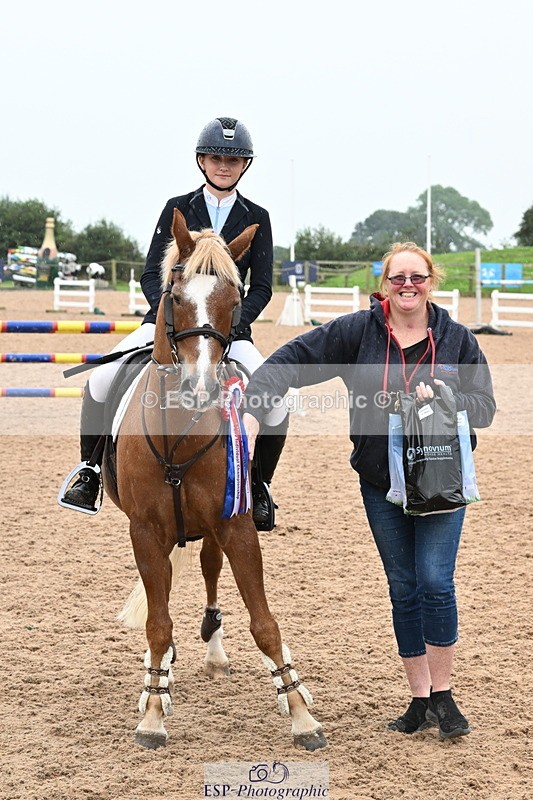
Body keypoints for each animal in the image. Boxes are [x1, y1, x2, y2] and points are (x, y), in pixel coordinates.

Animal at [102, 209, 327, 752]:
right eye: (175, 295)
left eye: (235, 301)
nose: (199, 387)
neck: (180, 433)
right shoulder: (145, 532)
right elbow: (158, 625)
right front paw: (153, 712)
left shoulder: (236, 525)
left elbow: (265, 623)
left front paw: (299, 712)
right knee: (166, 598)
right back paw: (158, 678)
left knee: (208, 568)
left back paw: (215, 650)